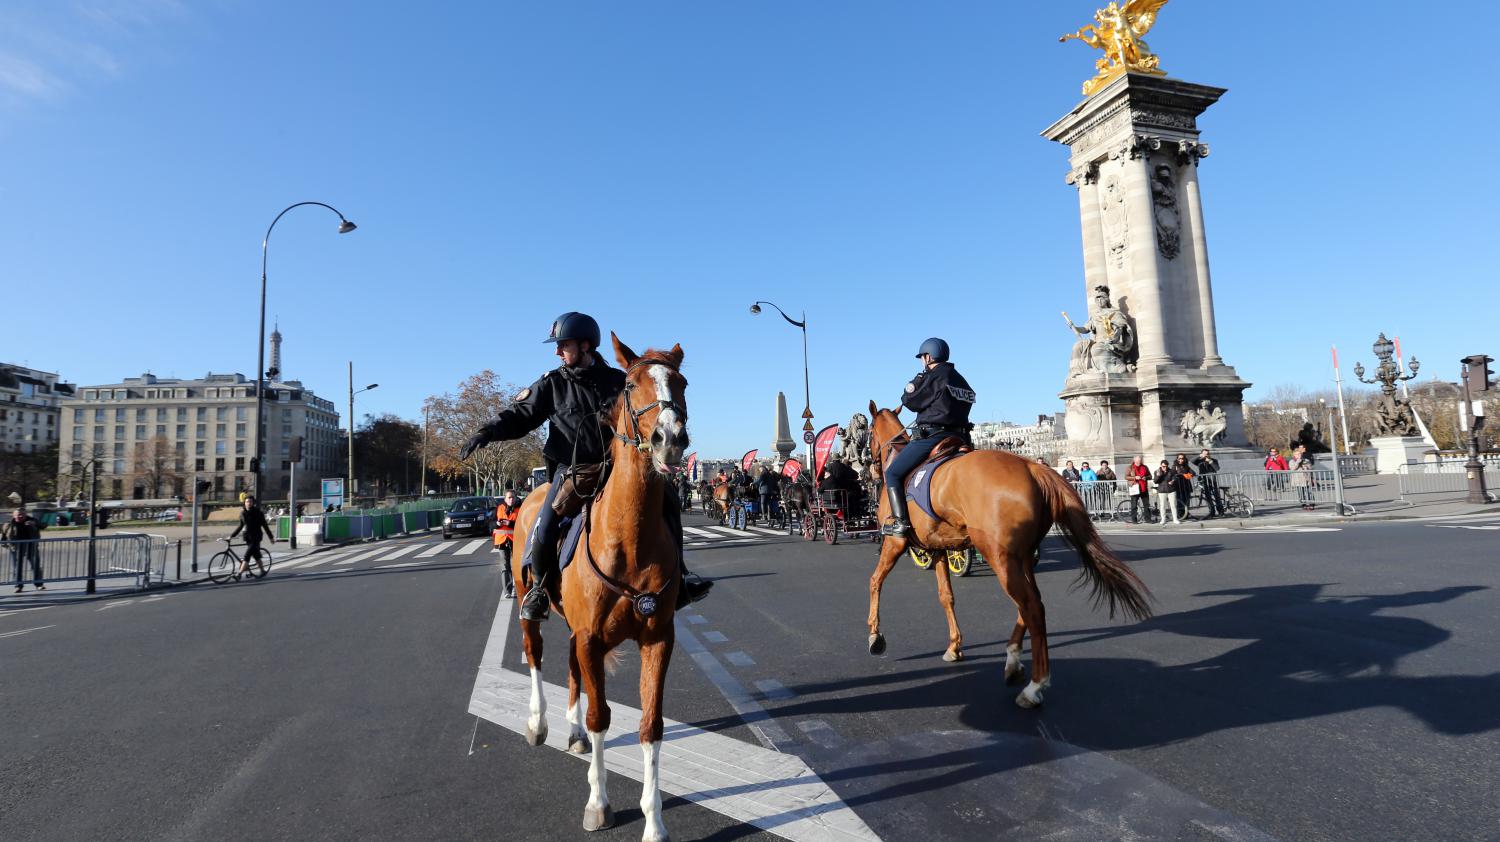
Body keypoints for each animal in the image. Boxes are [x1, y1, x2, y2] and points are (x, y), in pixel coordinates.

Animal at [510, 331, 687, 834]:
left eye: (682, 382)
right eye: (629, 384)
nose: (670, 439)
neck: (629, 536)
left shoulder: (657, 638)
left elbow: (651, 724)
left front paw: (654, 823)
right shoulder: (591, 636)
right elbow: (599, 715)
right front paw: (598, 803)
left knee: (571, 668)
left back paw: (571, 734)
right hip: (530, 607)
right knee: (535, 654)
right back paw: (540, 724)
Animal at [870, 405, 1146, 705]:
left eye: (868, 433)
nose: (870, 471)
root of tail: (1033, 467)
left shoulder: (894, 542)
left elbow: (875, 581)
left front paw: (875, 636)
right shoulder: (939, 549)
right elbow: (946, 597)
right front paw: (954, 646)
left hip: (999, 556)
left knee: (1031, 607)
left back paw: (1034, 685)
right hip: (1020, 557)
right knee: (1029, 602)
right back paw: (1013, 661)